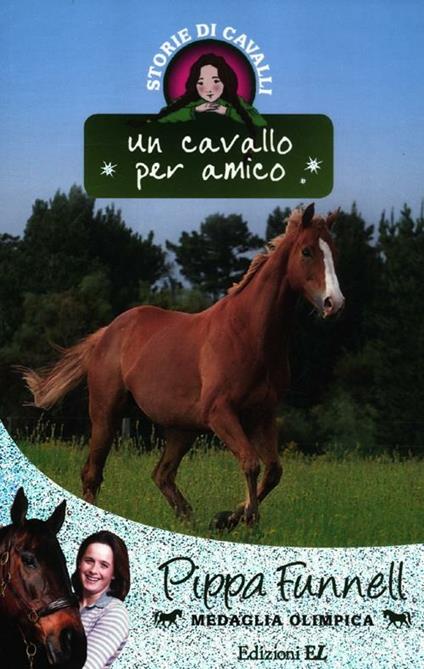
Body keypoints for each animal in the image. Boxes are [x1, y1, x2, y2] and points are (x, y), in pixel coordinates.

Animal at [20, 203, 344, 529]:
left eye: (334, 250)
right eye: (306, 251)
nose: (335, 303)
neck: (249, 333)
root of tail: (108, 332)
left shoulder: (261, 415)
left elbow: (274, 470)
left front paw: (229, 518)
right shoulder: (220, 413)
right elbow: (251, 463)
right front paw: (245, 520)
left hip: (181, 429)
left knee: (162, 474)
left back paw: (189, 520)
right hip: (106, 414)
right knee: (93, 474)